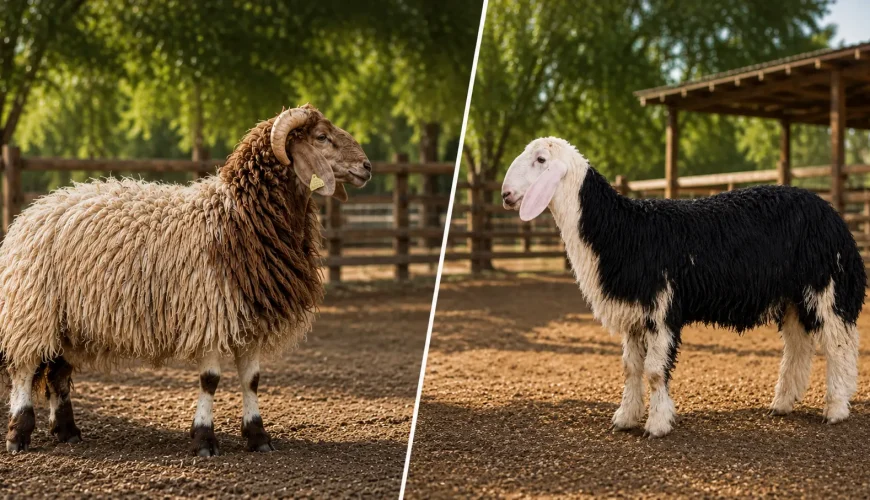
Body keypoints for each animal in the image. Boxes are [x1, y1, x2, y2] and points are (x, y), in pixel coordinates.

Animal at [0, 104, 373, 455]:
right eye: (322, 137)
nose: (367, 167)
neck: (236, 217)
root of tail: (32, 211)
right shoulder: (209, 315)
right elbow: (210, 380)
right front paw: (205, 439)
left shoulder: (251, 316)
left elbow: (251, 380)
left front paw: (258, 436)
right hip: (31, 311)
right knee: (24, 369)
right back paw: (19, 434)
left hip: (69, 323)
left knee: (58, 374)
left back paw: (67, 432)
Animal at [501, 137, 865, 437]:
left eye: (541, 160)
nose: (505, 195)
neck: (622, 231)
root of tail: (836, 219)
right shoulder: (634, 314)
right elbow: (630, 368)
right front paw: (625, 418)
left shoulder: (661, 308)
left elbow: (653, 372)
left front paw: (657, 424)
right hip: (792, 298)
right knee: (798, 346)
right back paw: (783, 403)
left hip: (827, 286)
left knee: (839, 347)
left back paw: (836, 409)